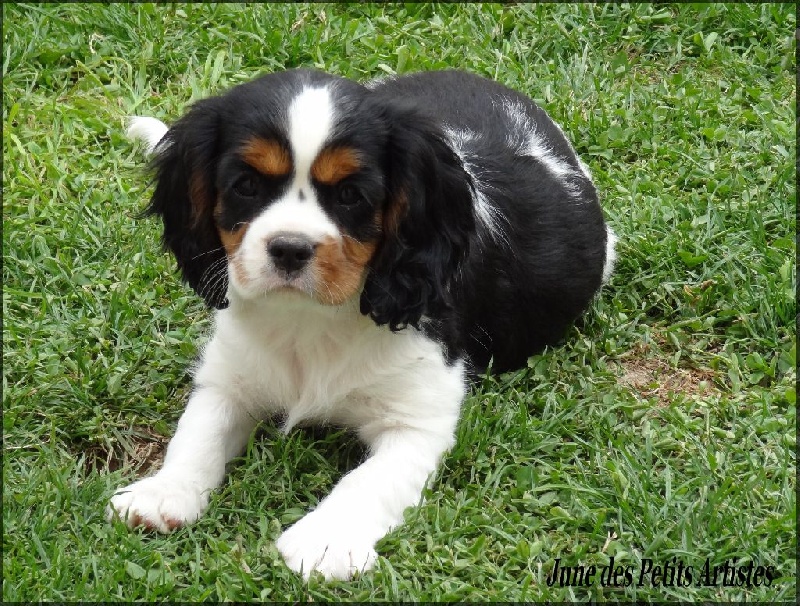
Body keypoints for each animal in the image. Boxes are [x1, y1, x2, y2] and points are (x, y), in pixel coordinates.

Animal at [108, 69, 616, 580]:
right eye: (246, 186)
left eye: (351, 195)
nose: (289, 248)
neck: (311, 317)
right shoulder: (229, 377)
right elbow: (198, 431)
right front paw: (163, 492)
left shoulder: (416, 422)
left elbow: (368, 480)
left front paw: (324, 541)